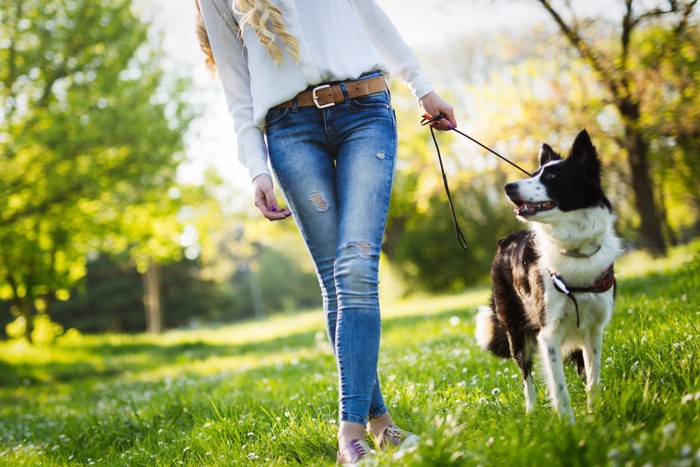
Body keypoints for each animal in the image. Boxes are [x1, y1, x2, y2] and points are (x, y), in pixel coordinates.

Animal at [476, 130, 624, 422]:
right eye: (534, 174)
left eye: (552, 177)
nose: (509, 187)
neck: (575, 247)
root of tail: (505, 240)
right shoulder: (548, 334)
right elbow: (558, 386)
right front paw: (569, 424)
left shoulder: (594, 329)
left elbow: (593, 377)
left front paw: (594, 413)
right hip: (516, 330)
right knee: (526, 375)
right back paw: (531, 412)